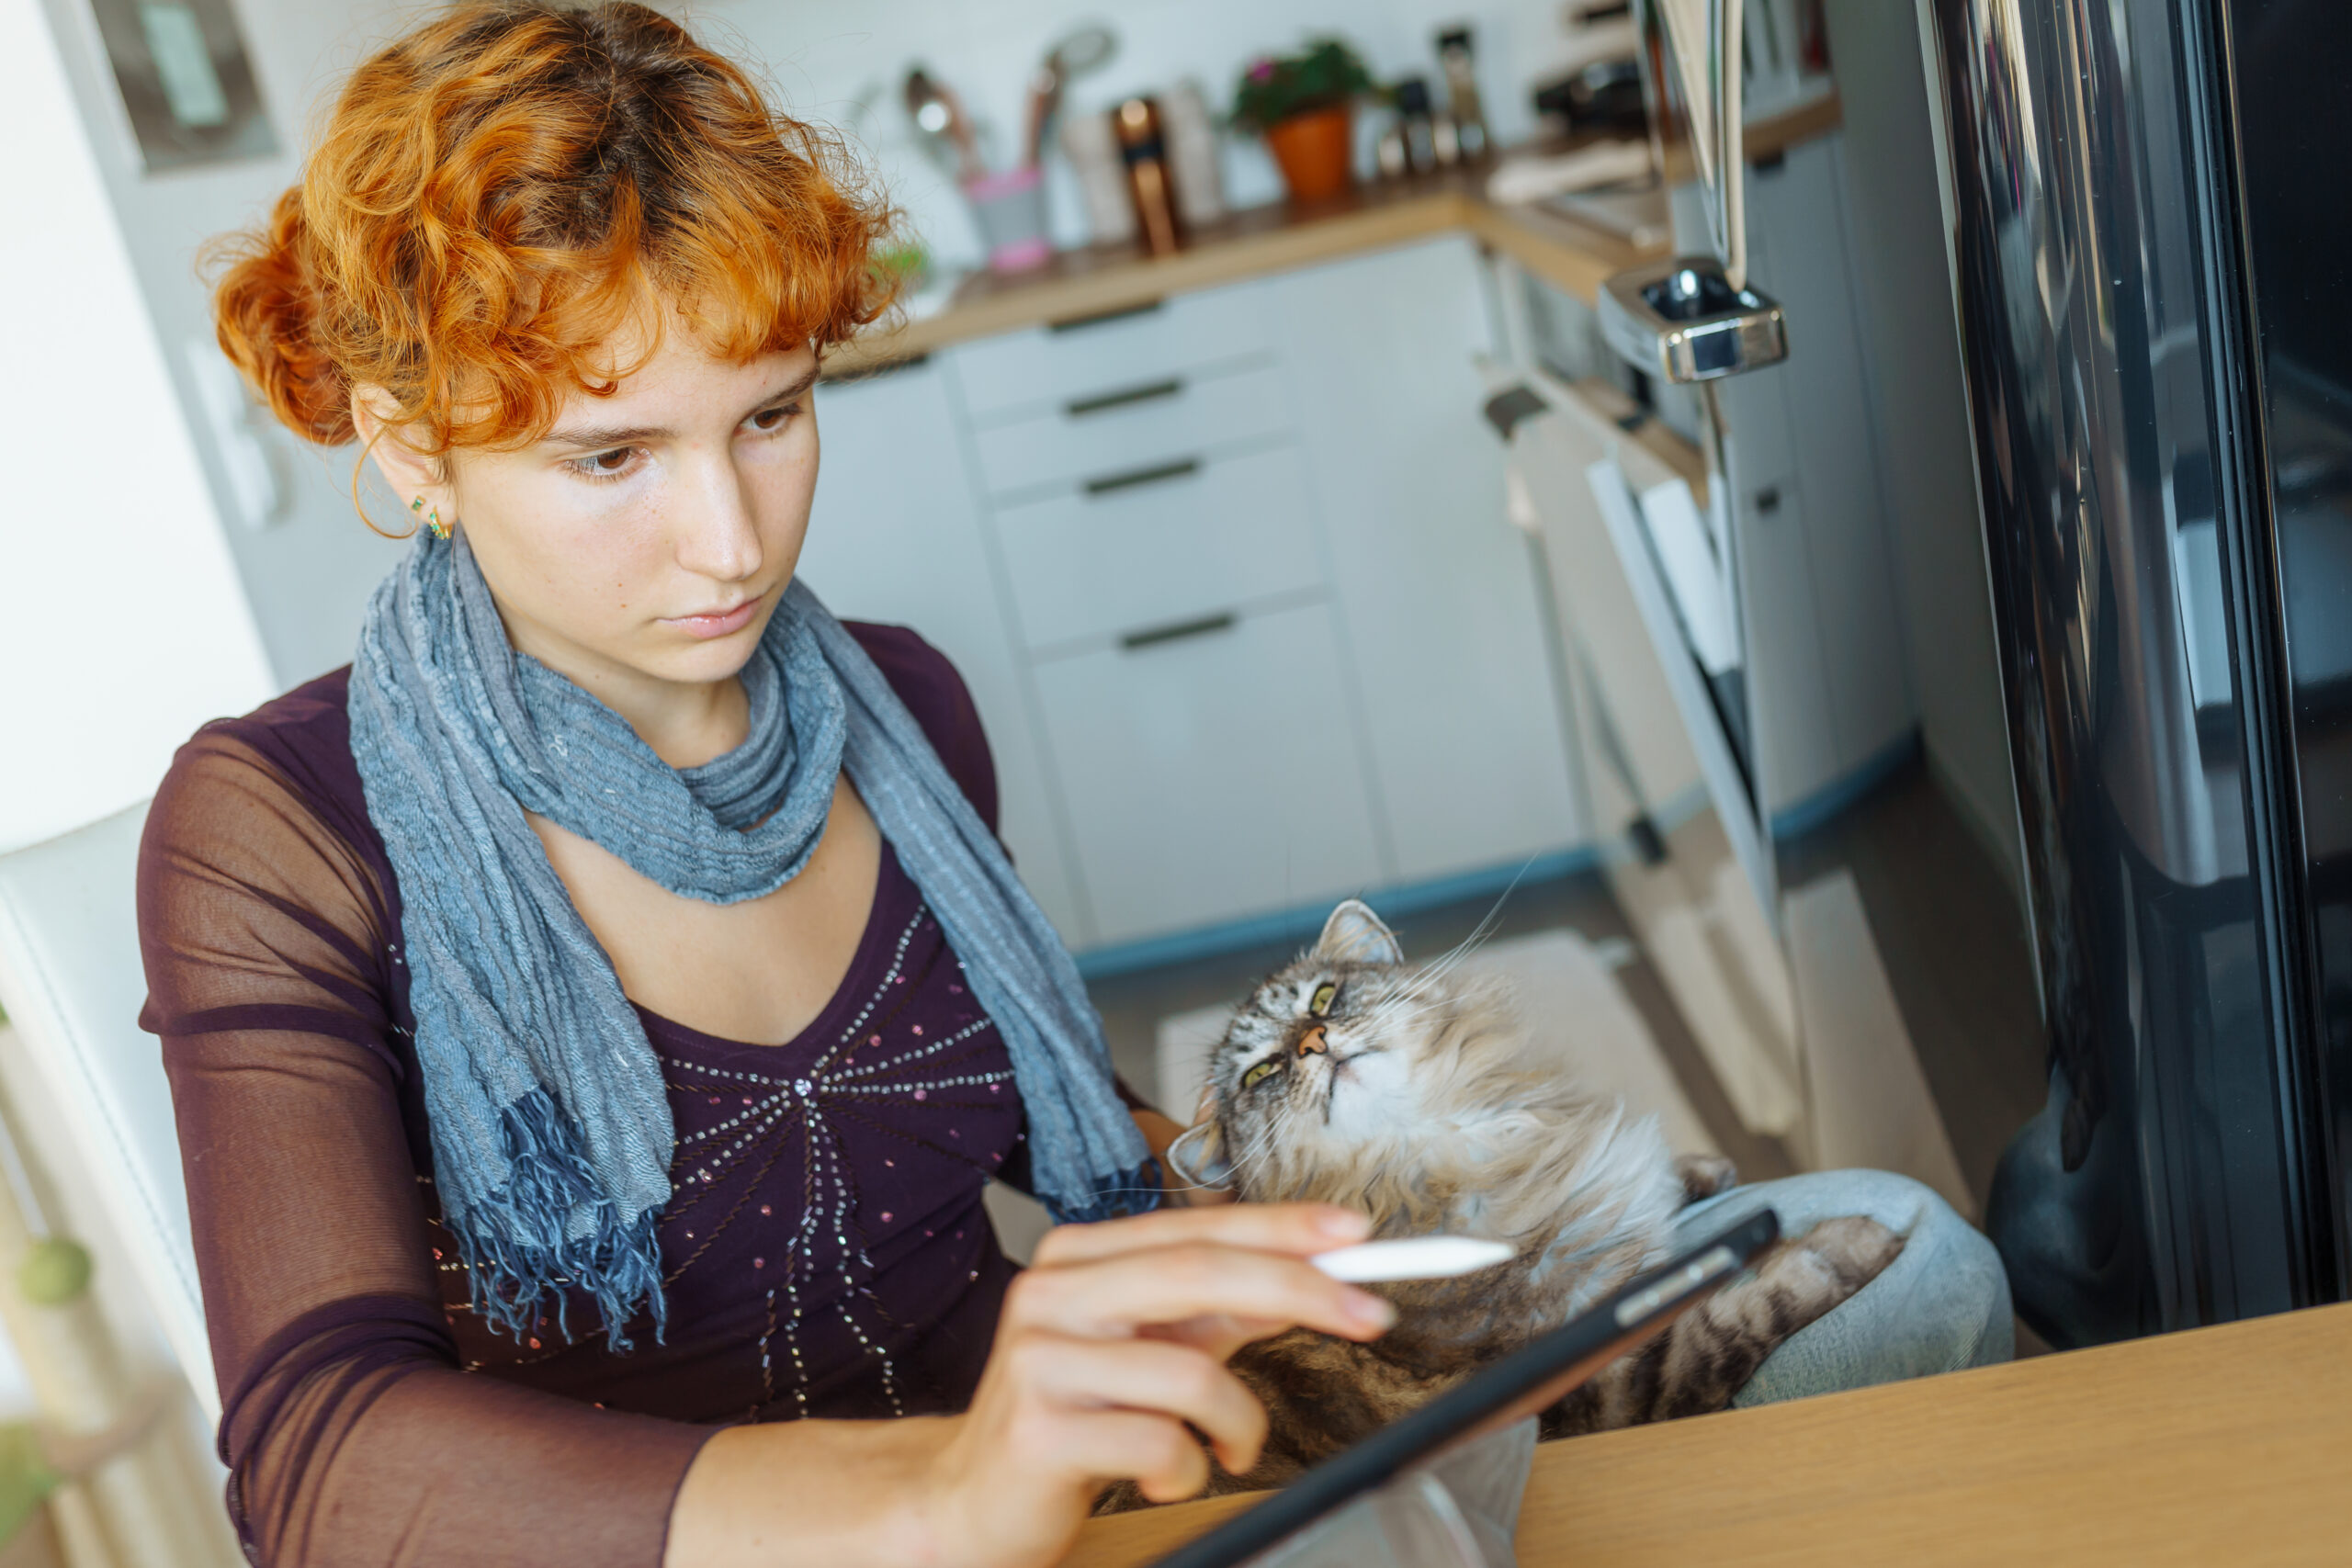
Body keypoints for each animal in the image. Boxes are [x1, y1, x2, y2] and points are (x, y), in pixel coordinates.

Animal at [1138, 902, 1909, 1504]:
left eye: (1324, 999)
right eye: (1262, 1072)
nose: (1314, 1041)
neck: (1434, 1147)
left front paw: (1697, 1169)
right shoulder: (1607, 1387)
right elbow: (1746, 1315)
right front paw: (1856, 1241)